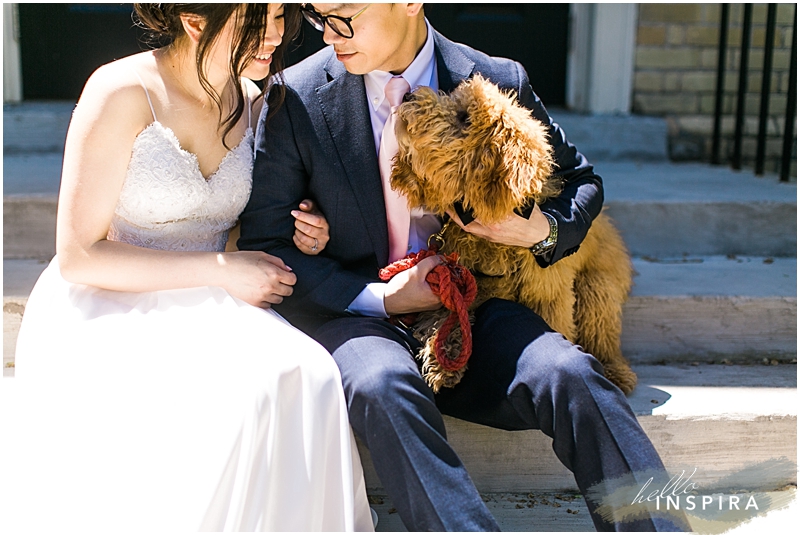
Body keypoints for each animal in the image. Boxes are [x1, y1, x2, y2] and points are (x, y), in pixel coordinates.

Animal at [390, 74, 636, 394]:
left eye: (464, 117)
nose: (408, 97)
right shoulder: (459, 280)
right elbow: (448, 317)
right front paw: (445, 361)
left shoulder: (550, 295)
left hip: (597, 289)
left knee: (603, 335)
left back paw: (615, 371)